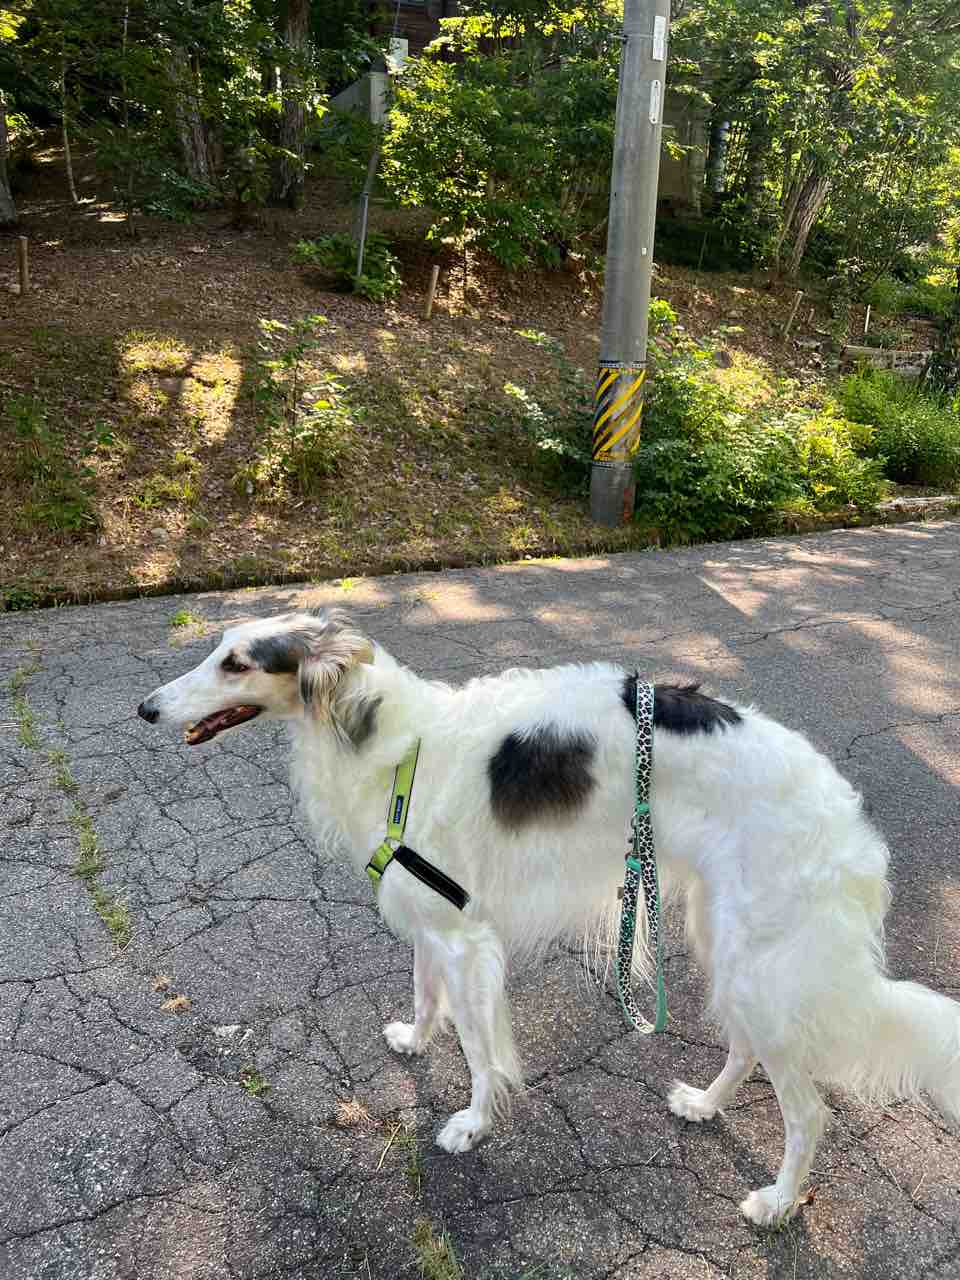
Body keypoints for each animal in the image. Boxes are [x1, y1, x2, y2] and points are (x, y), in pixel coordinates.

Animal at [138, 608, 960, 1225]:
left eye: (236, 663)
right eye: (216, 650)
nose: (146, 708)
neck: (389, 741)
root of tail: (847, 823)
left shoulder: (466, 938)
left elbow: (478, 1051)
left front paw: (471, 1125)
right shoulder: (431, 918)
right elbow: (424, 995)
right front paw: (414, 1040)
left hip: (761, 962)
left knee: (808, 1113)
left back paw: (778, 1202)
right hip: (725, 943)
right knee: (749, 1048)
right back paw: (704, 1103)